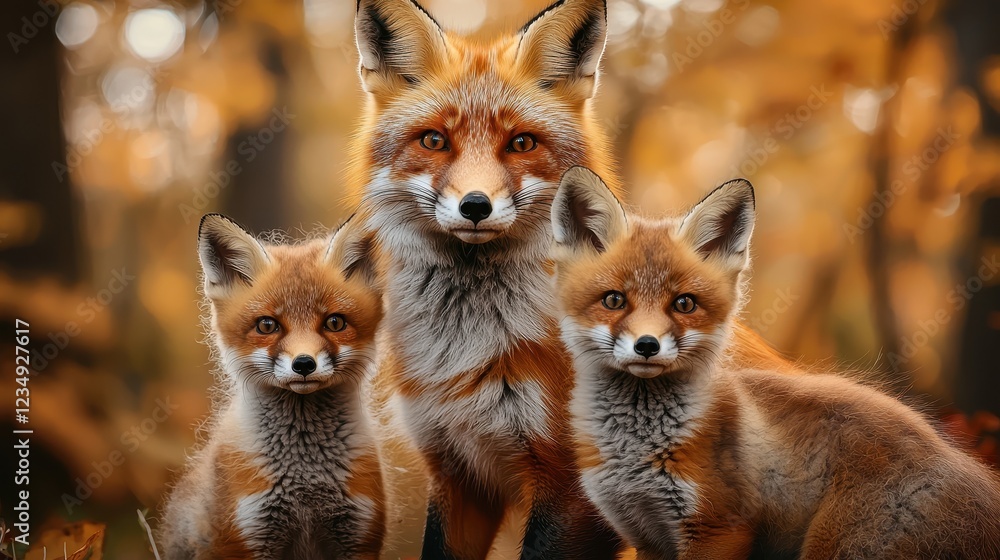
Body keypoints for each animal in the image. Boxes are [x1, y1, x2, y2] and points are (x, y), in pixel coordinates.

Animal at [158, 214, 386, 560]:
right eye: (267, 325)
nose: (304, 364)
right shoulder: (245, 536)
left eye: (334, 322)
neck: (306, 478)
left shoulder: (359, 537)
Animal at [551, 165, 1000, 559]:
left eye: (684, 304)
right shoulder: (647, 535)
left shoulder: (720, 529)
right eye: (614, 300)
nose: (647, 345)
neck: (636, 450)